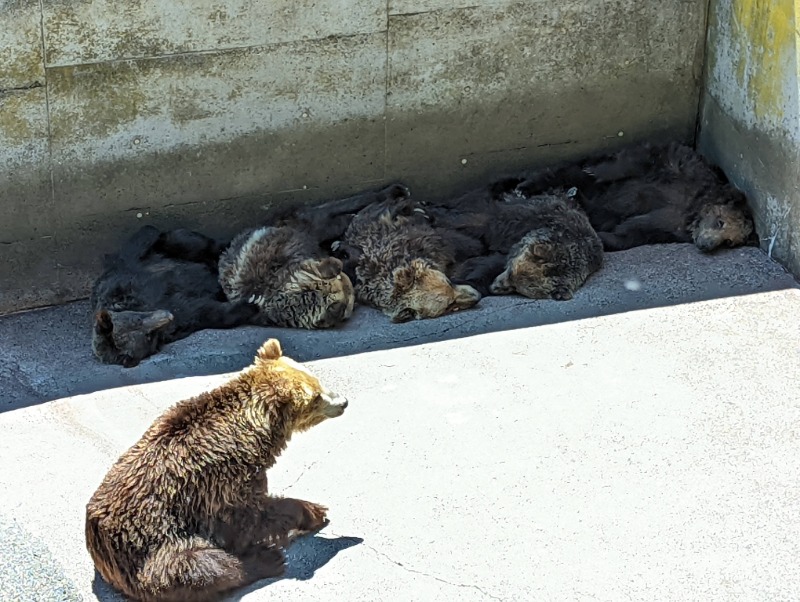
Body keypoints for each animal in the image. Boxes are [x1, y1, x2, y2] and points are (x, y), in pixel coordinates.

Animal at [85, 338, 346, 600]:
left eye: (317, 381)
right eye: (316, 397)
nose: (343, 401)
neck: (255, 429)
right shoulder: (225, 480)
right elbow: (250, 516)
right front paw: (313, 511)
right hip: (154, 542)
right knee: (196, 565)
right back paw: (267, 560)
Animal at [92, 225, 258, 366]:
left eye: (137, 320)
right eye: (147, 336)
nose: (167, 316)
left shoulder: (130, 276)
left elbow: (143, 238)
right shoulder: (181, 320)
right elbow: (209, 312)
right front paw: (250, 305)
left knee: (186, 241)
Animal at [512, 140, 756, 251]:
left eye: (729, 242)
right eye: (720, 222)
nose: (707, 245)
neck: (693, 210)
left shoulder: (667, 228)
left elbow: (633, 232)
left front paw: (603, 237)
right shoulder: (681, 170)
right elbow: (635, 161)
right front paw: (598, 172)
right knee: (564, 172)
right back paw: (525, 188)